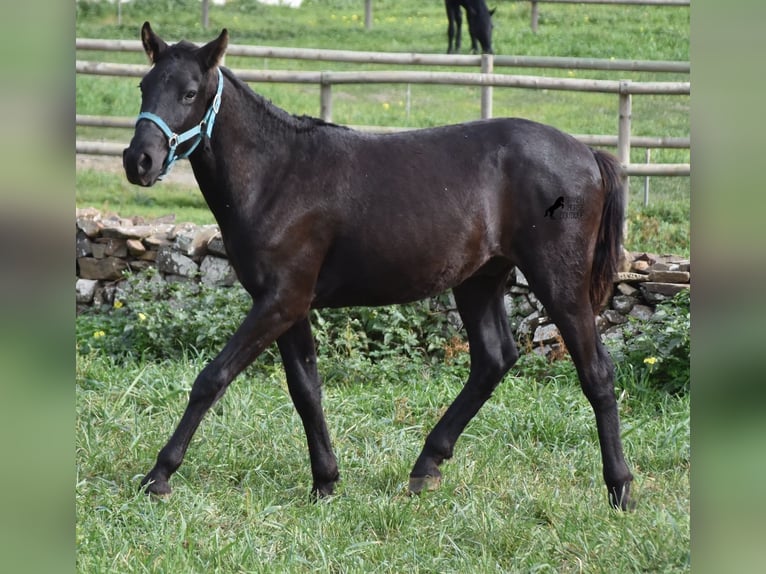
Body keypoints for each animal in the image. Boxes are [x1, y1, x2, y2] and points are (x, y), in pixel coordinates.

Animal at [121, 22, 636, 510]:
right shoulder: (289, 305)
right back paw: (426, 466)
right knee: (494, 359)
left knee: (596, 371)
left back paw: (621, 489)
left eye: (190, 92)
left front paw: (158, 476)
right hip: (479, 279)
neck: (277, 175)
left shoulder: (280, 301)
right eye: (144, 85)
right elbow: (306, 389)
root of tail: (589, 154)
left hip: (559, 282)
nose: (138, 161)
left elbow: (212, 379)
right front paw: (325, 481)